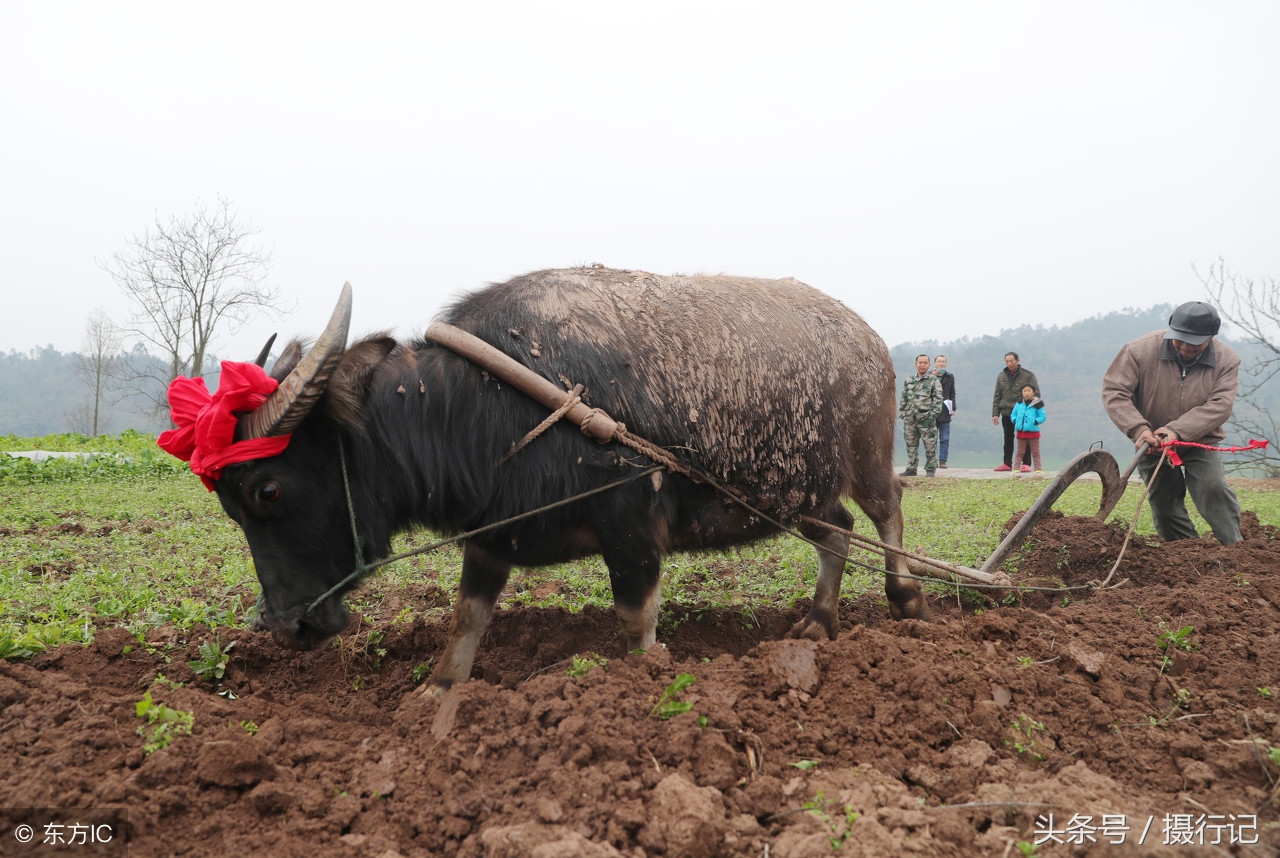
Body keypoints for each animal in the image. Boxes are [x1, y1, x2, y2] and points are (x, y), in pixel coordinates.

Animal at [192, 267, 931, 691]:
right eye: (228, 505)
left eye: (266, 489)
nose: (284, 627)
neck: (487, 403)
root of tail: (869, 340)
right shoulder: (491, 532)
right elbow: (466, 619)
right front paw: (435, 694)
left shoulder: (630, 527)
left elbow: (637, 616)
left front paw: (642, 677)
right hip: (794, 493)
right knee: (838, 532)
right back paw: (817, 621)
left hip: (865, 460)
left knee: (887, 508)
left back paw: (906, 599)